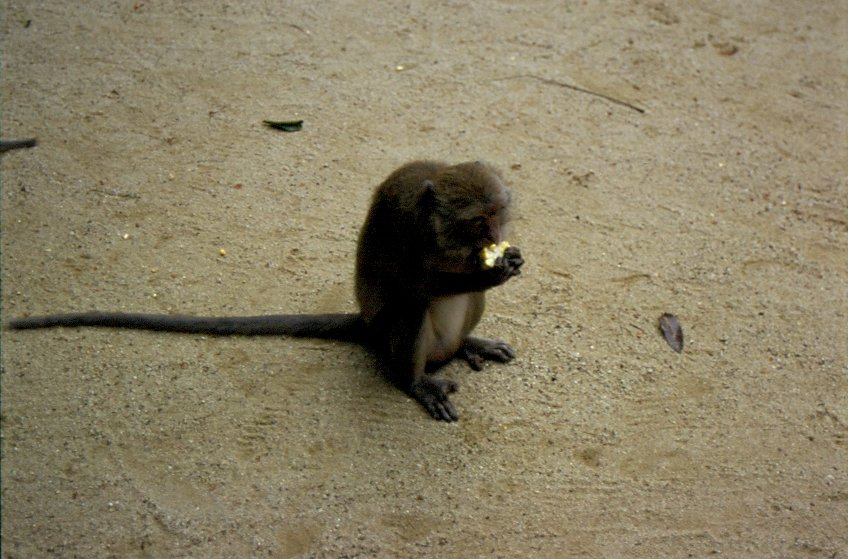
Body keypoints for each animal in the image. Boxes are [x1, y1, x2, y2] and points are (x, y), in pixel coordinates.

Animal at [8, 160, 524, 422]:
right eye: (478, 220)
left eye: (497, 213)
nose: (495, 234)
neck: (440, 232)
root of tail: (365, 325)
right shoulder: (411, 231)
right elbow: (413, 284)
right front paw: (488, 273)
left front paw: (508, 262)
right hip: (388, 332)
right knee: (410, 307)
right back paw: (413, 381)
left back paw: (467, 345)